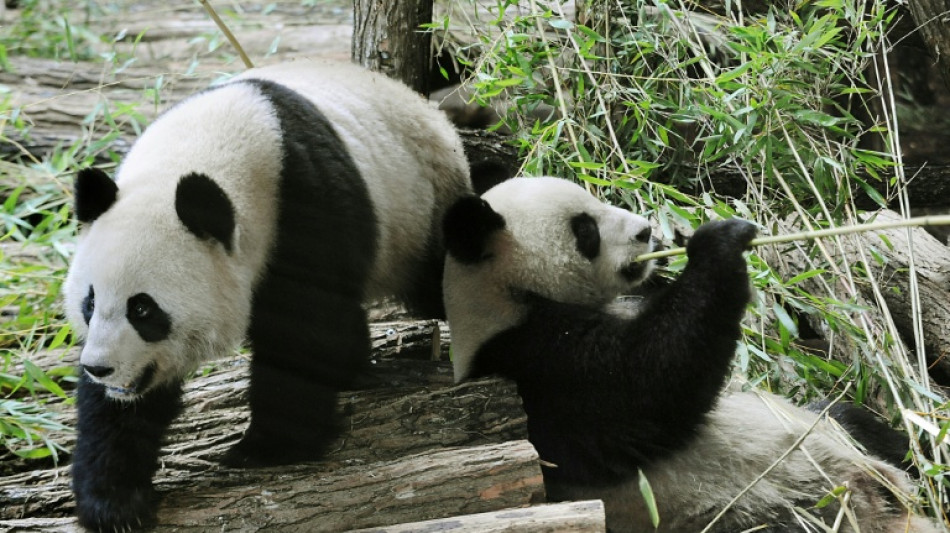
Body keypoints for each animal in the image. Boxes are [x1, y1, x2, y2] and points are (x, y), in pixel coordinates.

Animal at [63, 60, 471, 531]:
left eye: (143, 309)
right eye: (90, 303)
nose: (100, 368)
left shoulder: (302, 201)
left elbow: (304, 330)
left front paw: (267, 448)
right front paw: (114, 502)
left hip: (422, 207)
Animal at [441, 177, 939, 532]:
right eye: (585, 229)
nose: (646, 231)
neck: (505, 297)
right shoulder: (532, 367)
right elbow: (645, 387)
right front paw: (718, 243)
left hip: (833, 437)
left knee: (859, 423)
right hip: (764, 511)